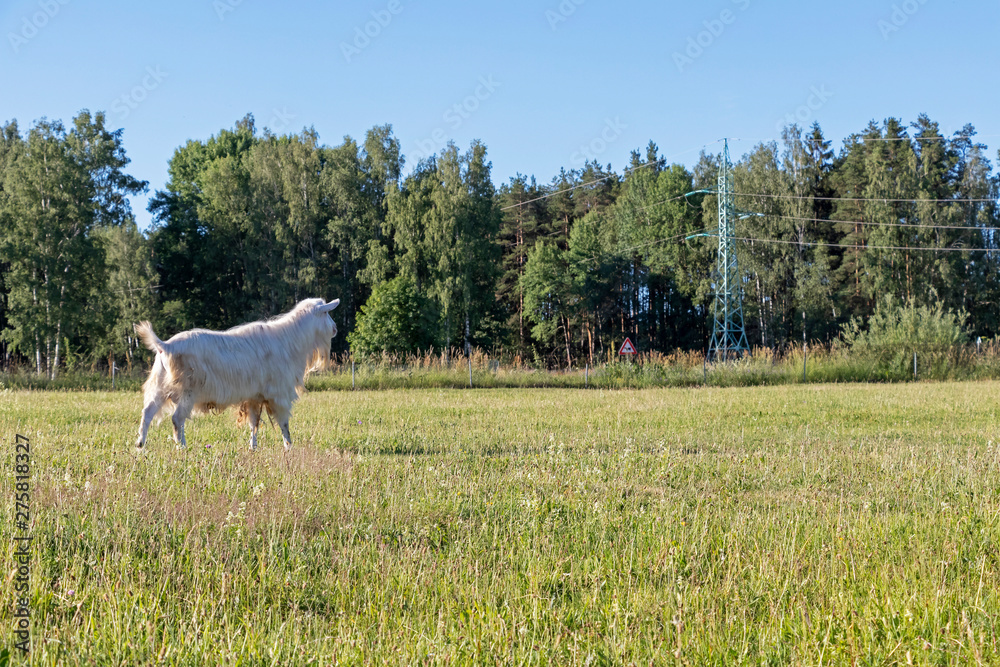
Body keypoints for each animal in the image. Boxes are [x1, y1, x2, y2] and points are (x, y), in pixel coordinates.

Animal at [134, 298, 339, 451]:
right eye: (326, 312)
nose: (336, 328)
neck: (289, 340)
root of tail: (165, 346)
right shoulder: (278, 394)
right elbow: (284, 423)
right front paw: (289, 447)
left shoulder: (255, 395)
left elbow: (254, 423)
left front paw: (253, 447)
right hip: (187, 390)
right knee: (177, 419)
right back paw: (182, 447)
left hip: (160, 386)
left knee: (147, 412)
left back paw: (140, 445)